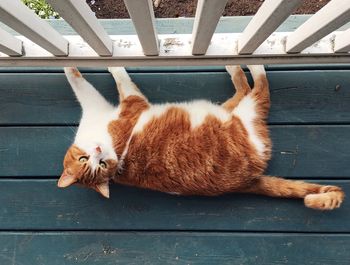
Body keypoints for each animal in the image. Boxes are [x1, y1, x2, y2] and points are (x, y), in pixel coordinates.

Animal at [58, 65, 344, 209]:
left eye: (94, 163)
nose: (98, 153)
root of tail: (246, 181)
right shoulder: (132, 104)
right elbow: (113, 79)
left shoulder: (107, 106)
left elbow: (87, 84)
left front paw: (72, 66)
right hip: (244, 117)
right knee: (257, 90)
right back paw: (249, 65)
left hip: (231, 109)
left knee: (243, 90)